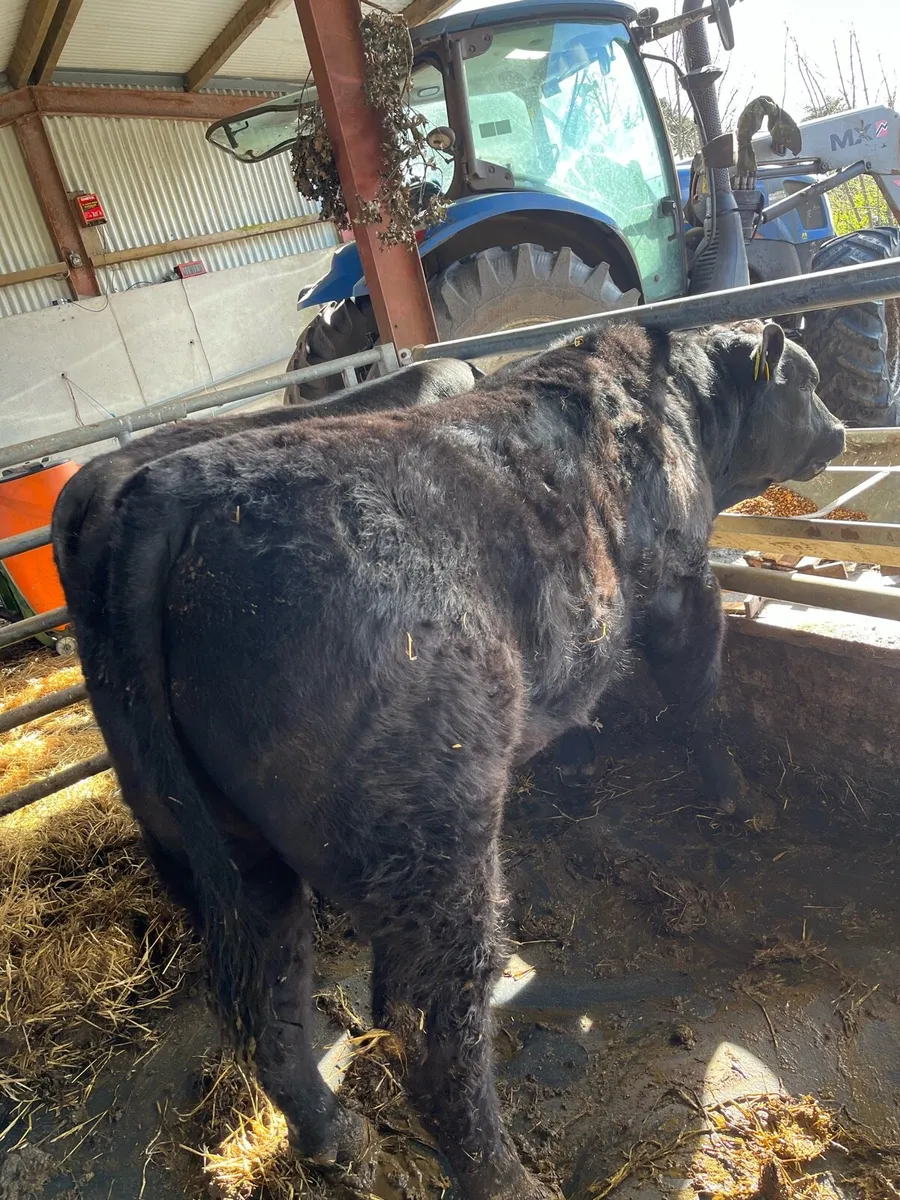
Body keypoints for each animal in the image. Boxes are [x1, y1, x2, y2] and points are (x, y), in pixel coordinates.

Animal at [52, 320, 844, 1200]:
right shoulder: (681, 577)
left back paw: (338, 1140)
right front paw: (736, 797)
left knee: (268, 1003)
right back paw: (506, 1180)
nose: (842, 431)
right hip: (432, 846)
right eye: (806, 380)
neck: (665, 399)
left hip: (210, 844)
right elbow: (699, 691)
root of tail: (166, 497)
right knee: (431, 1027)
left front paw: (577, 774)